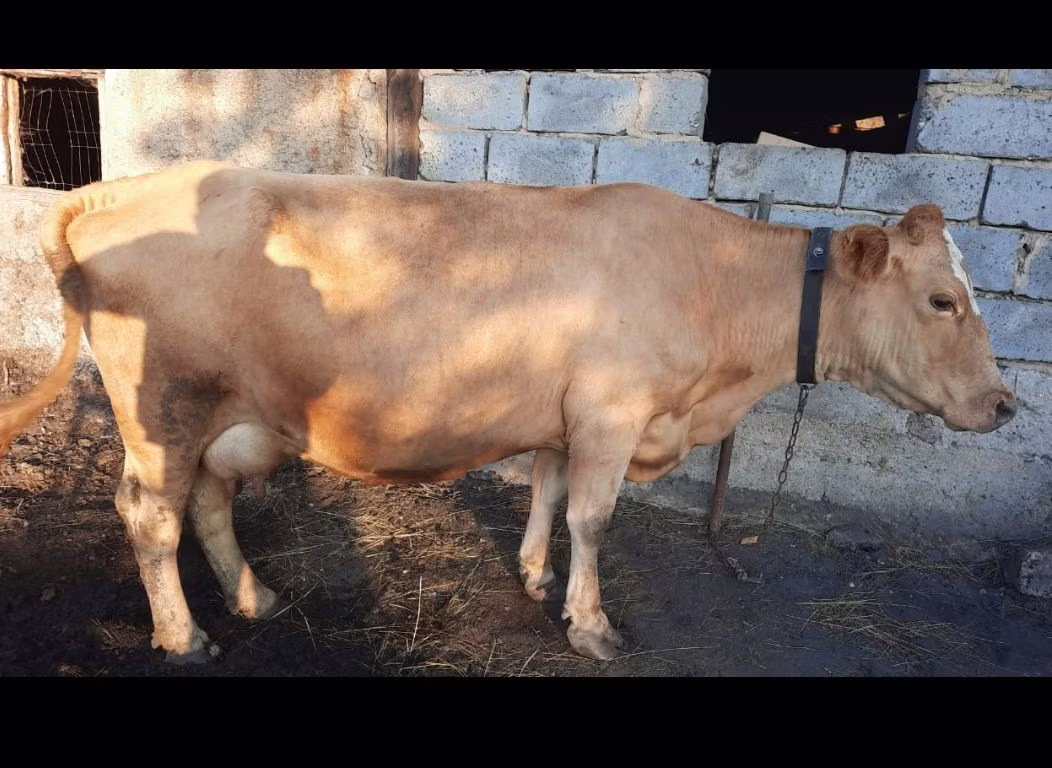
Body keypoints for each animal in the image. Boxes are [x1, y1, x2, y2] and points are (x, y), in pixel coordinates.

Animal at [0, 160, 1016, 663]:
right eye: (942, 301)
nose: (1007, 404)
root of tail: (118, 188)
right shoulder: (611, 414)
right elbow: (595, 517)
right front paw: (591, 625)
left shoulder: (566, 416)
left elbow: (548, 494)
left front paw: (533, 577)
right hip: (163, 411)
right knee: (150, 516)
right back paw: (185, 637)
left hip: (225, 422)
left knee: (208, 504)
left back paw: (256, 598)